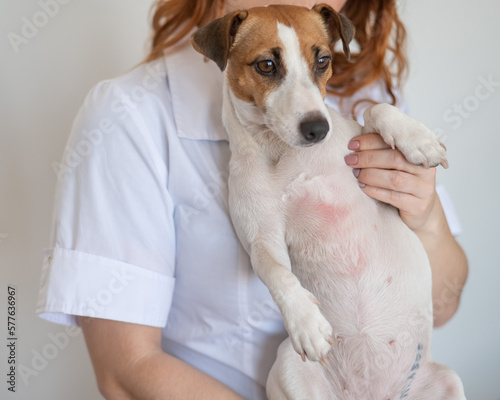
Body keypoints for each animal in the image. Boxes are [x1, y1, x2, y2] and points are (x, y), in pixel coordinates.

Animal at [190, 3, 464, 400]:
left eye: (322, 60)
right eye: (266, 65)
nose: (317, 129)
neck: (284, 153)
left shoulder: (356, 141)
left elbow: (375, 110)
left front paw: (418, 139)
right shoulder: (261, 239)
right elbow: (277, 272)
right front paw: (306, 322)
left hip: (447, 381)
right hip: (289, 368)